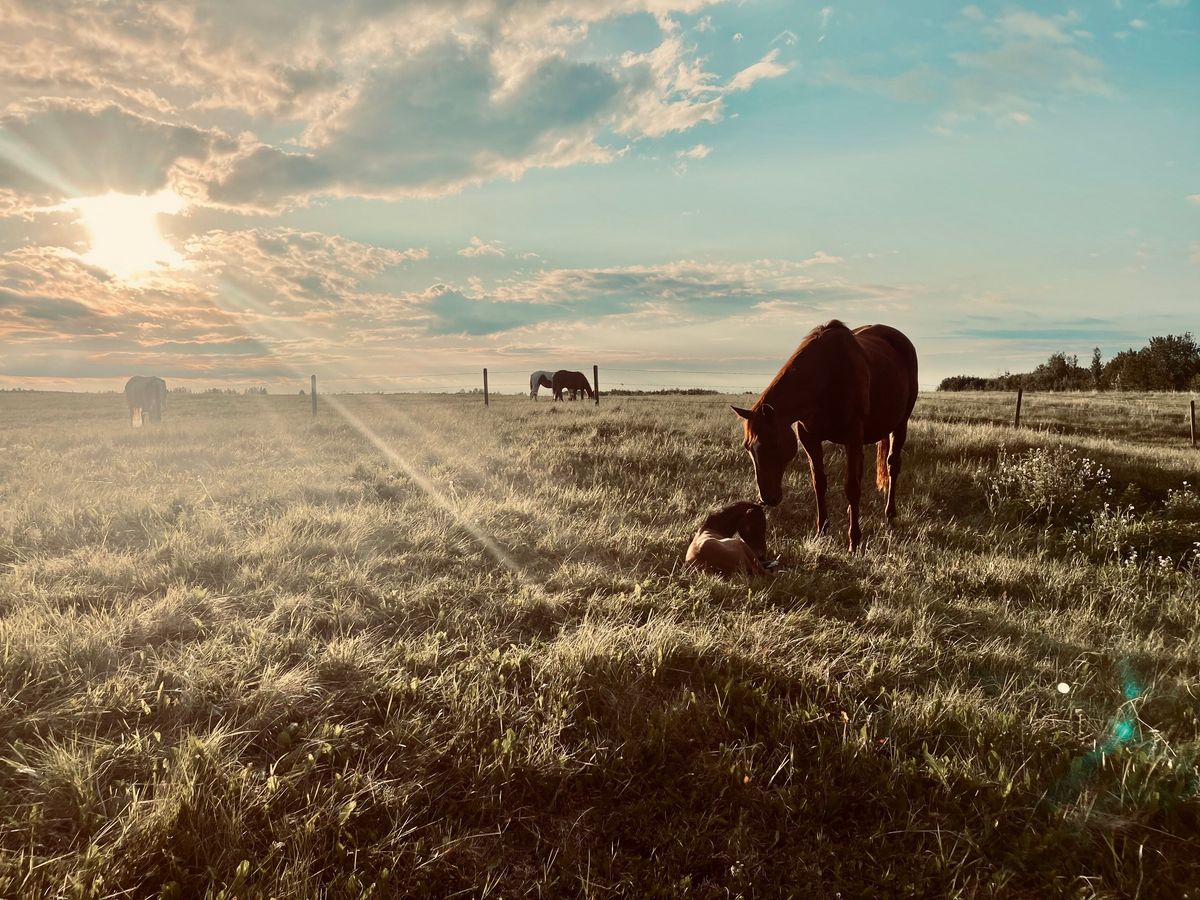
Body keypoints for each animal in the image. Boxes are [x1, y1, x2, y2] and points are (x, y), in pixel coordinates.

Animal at [729, 321, 916, 554]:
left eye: (773, 444)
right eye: (748, 447)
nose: (767, 498)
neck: (827, 376)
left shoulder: (853, 434)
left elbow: (851, 487)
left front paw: (854, 541)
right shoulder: (809, 438)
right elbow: (819, 482)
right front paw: (822, 532)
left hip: (900, 425)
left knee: (892, 467)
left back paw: (889, 517)